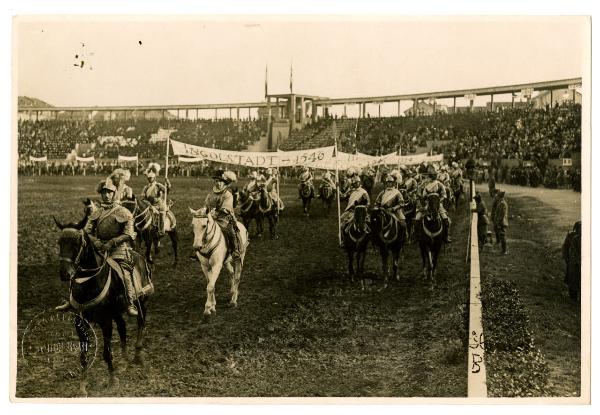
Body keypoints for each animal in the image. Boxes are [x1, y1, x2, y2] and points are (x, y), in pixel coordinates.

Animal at [55, 224, 151, 396]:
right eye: (60, 242)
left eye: (76, 244)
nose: (65, 273)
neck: (89, 283)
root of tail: (139, 256)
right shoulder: (80, 323)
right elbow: (83, 355)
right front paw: (82, 386)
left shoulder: (105, 322)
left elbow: (106, 353)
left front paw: (112, 380)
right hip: (117, 312)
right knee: (122, 327)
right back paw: (124, 360)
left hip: (143, 302)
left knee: (141, 323)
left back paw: (137, 356)